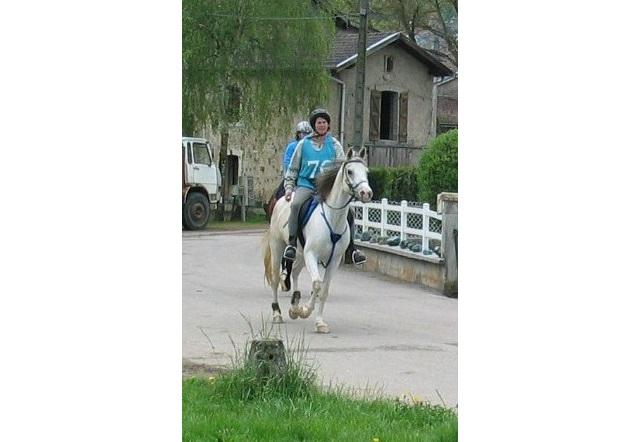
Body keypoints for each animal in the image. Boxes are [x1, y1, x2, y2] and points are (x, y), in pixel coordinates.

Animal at [261, 147, 373, 333]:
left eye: (366, 171)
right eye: (350, 171)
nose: (366, 193)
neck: (332, 217)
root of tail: (282, 200)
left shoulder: (333, 260)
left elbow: (323, 289)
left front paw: (318, 321)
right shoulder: (312, 255)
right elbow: (317, 285)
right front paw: (306, 310)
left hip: (300, 254)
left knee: (295, 272)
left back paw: (295, 305)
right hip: (279, 248)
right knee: (276, 279)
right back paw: (277, 313)